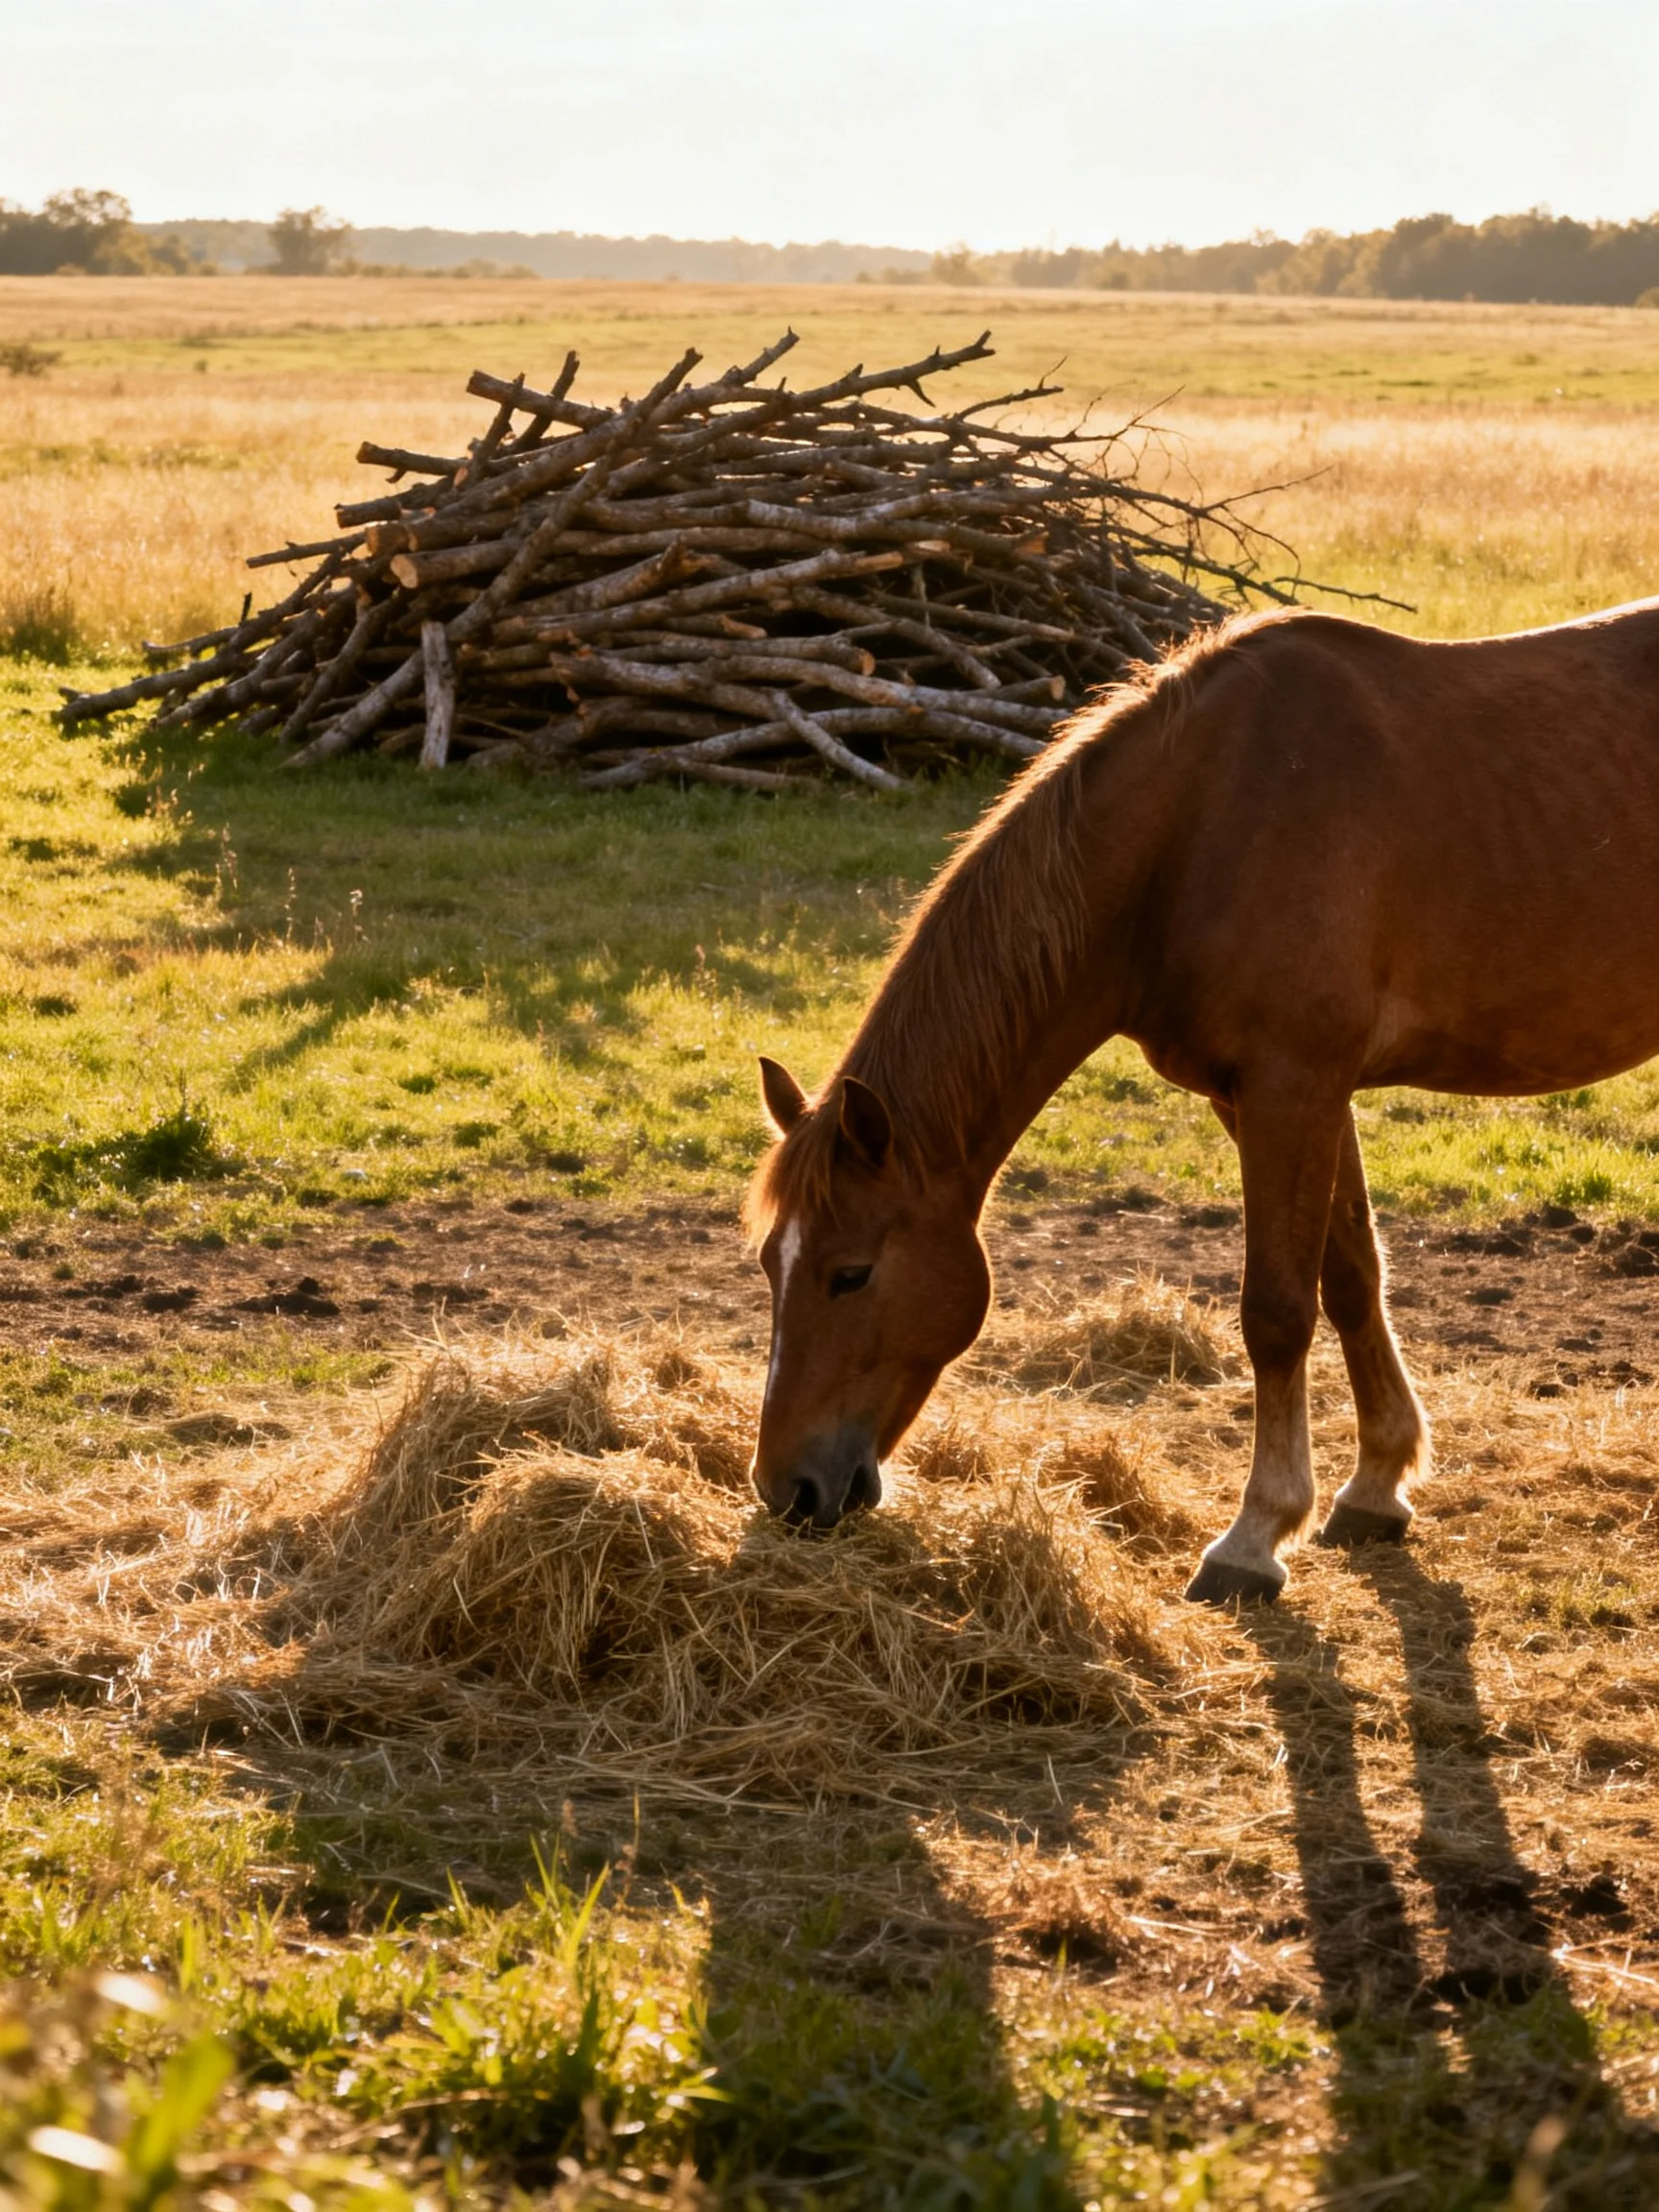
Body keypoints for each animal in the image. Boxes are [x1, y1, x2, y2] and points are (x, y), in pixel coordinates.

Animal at [743, 596, 1659, 1603]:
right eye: (769, 1265)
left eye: (852, 1273)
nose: (788, 1490)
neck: (1196, 826)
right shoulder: (1283, 1096)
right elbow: (1350, 1278)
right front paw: (1377, 1485)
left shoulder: (1291, 1087)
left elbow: (1277, 1311)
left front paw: (1255, 1537)